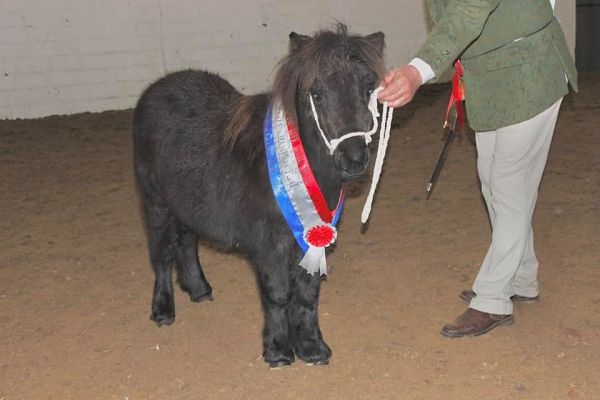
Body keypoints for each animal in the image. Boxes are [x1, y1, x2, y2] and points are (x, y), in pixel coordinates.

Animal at [131, 25, 384, 368]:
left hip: (185, 202)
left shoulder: (312, 240)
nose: (353, 158)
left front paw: (312, 347)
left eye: (369, 87)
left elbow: (307, 295)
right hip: (156, 204)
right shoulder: (271, 247)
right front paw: (278, 351)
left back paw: (198, 289)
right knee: (162, 254)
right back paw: (163, 309)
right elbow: (278, 294)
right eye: (316, 94)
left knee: (187, 242)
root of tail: (155, 89)